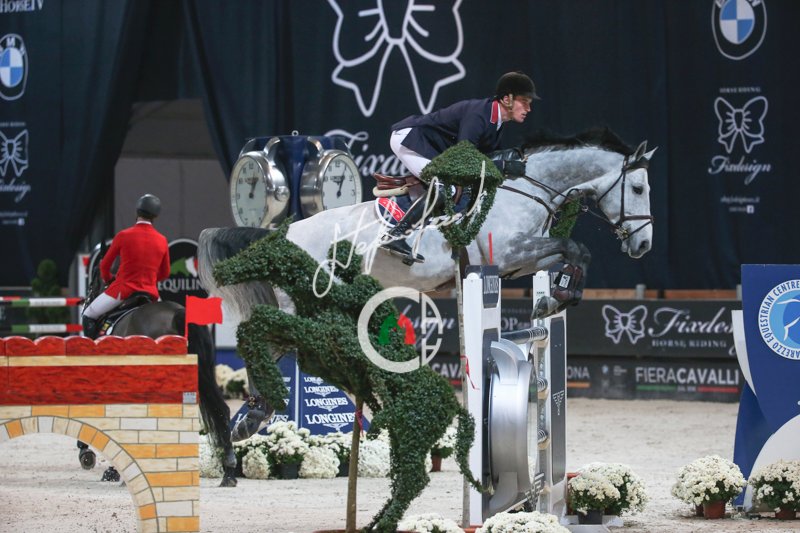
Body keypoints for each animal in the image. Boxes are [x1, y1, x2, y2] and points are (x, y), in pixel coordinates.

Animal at [82, 242, 238, 487]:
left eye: (94, 276)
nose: (86, 300)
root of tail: (179, 313)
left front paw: (103, 463)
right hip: (201, 375)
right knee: (220, 409)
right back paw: (228, 472)